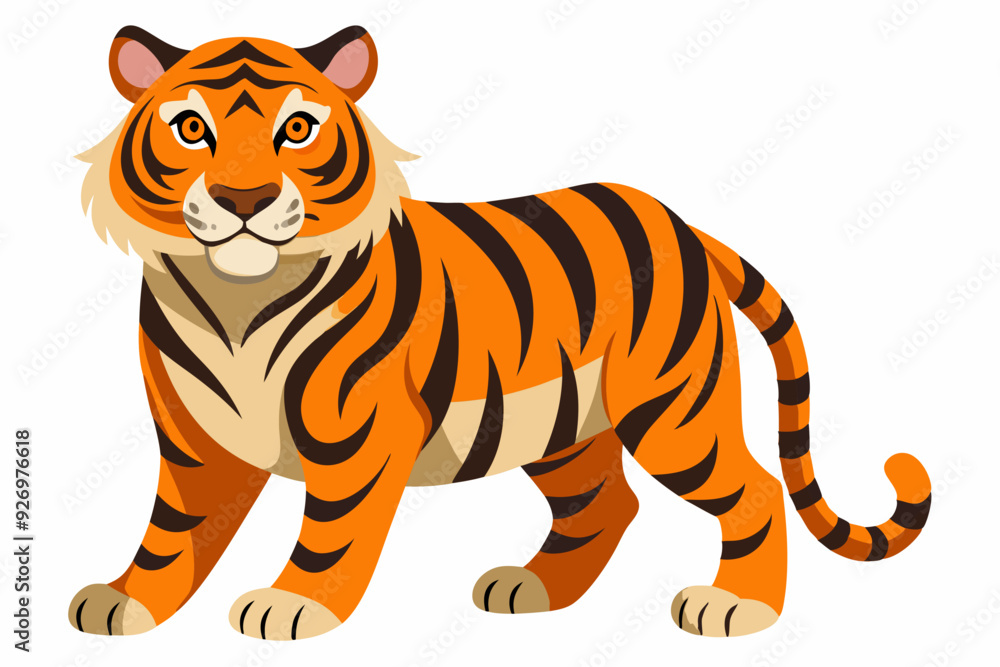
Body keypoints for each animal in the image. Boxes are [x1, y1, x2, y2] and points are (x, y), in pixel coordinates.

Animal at [72, 25, 932, 641]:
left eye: (297, 129)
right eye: (191, 128)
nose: (244, 197)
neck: (236, 301)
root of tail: (684, 223)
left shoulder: (360, 438)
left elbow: (332, 533)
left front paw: (291, 606)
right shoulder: (196, 445)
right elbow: (171, 534)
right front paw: (123, 602)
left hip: (672, 412)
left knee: (753, 488)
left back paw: (736, 608)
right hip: (561, 426)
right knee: (607, 501)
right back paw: (533, 588)